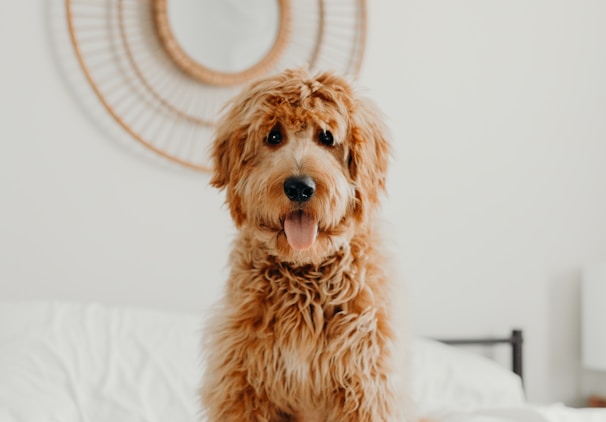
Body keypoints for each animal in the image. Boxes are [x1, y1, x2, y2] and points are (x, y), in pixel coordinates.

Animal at [202, 67, 406, 420]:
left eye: (326, 137)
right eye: (273, 136)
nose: (299, 187)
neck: (304, 272)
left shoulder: (364, 383)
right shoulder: (243, 383)